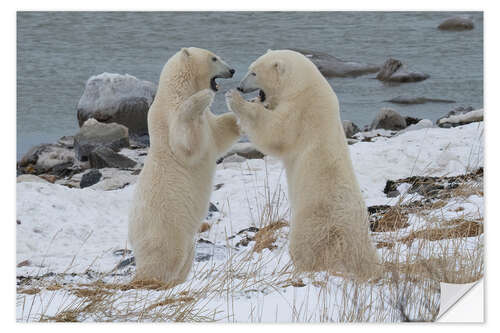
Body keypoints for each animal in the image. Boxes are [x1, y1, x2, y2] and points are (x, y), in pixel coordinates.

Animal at [130, 46, 241, 286]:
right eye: (214, 58)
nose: (232, 70)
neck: (176, 91)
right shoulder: (169, 117)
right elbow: (187, 142)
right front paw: (202, 98)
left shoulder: (209, 124)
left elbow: (219, 133)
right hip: (165, 227)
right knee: (166, 258)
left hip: (185, 239)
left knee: (186, 257)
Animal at [226, 48, 378, 278]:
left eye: (253, 72)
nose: (240, 87)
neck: (303, 85)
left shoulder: (300, 112)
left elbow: (274, 132)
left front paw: (236, 100)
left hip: (313, 220)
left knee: (304, 244)